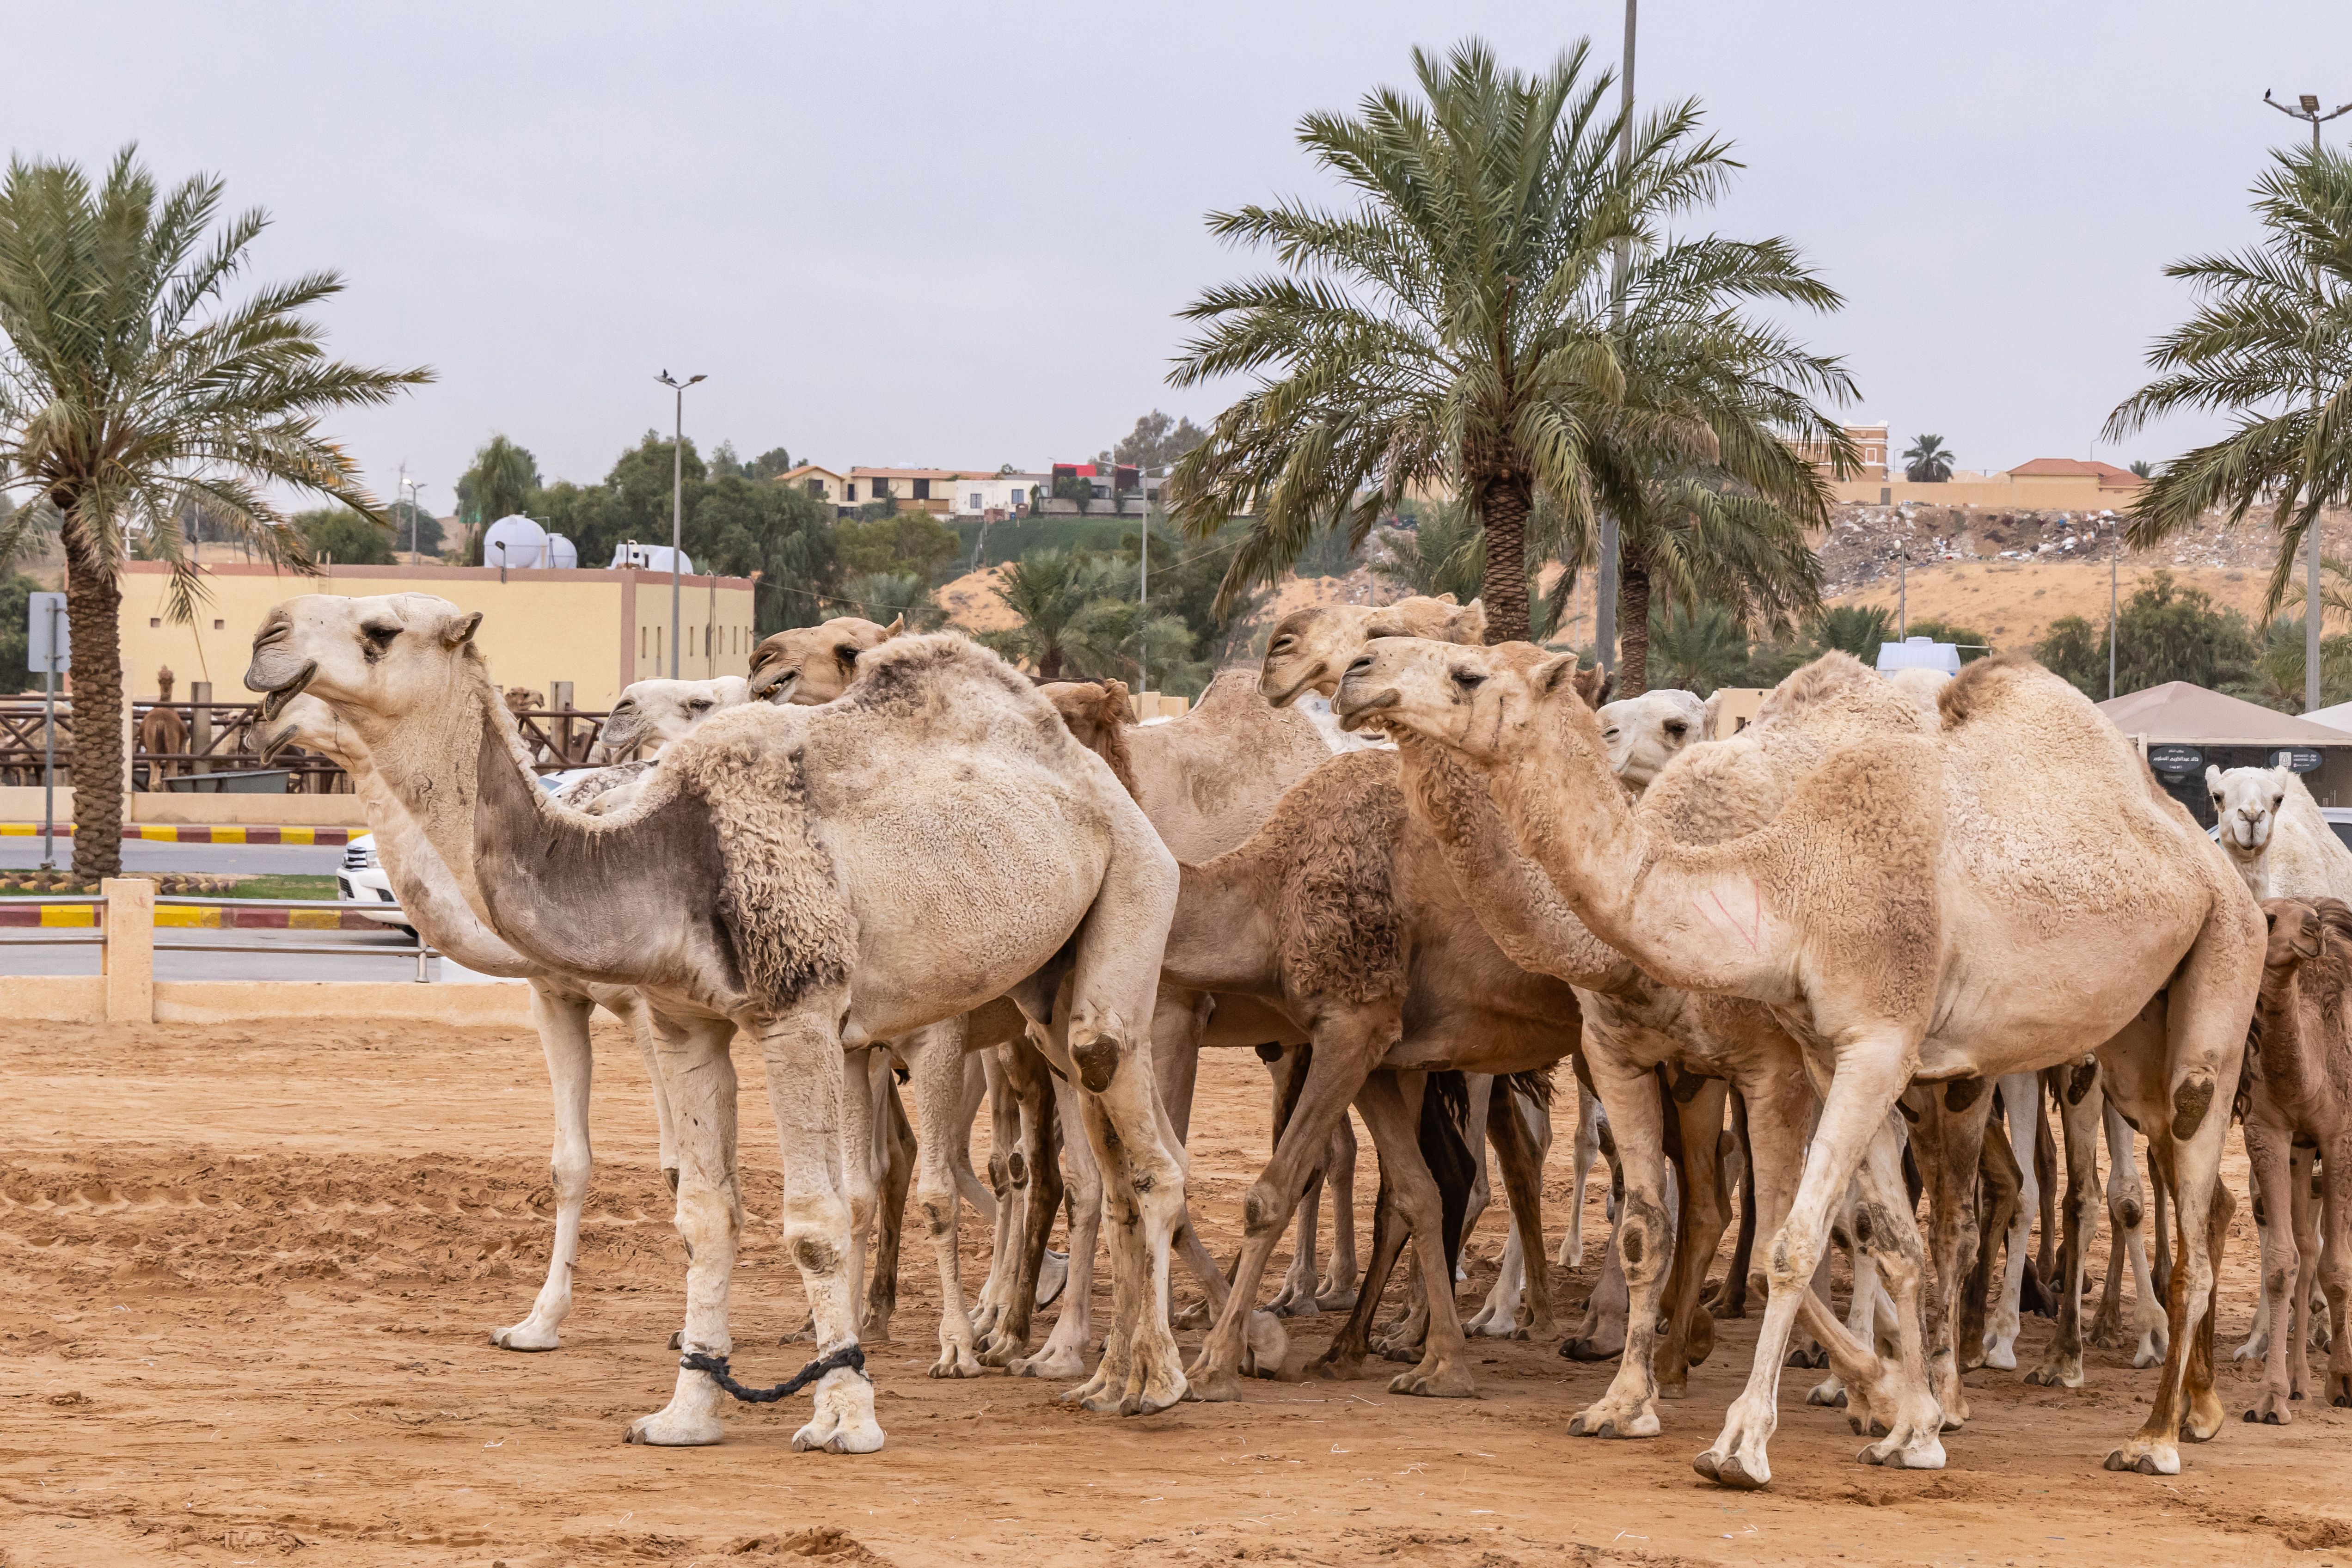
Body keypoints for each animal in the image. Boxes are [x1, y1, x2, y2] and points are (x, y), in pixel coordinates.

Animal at [248, 598, 1190, 1449]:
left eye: (381, 629)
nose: (266, 639)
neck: (655, 849)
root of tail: (1088, 766)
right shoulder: (681, 1020)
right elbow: (704, 1209)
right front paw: (685, 1411)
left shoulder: (798, 1009)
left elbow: (813, 1221)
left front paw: (844, 1415)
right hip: (1033, 987)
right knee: (1094, 1136)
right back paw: (1106, 1368)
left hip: (1134, 885)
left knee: (1127, 1125)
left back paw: (1140, 1377)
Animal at [1337, 640, 2262, 1484]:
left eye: (1466, 672)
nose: (1355, 673)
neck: (1793, 887)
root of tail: (2212, 855)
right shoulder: (1821, 1055)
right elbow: (1880, 1237)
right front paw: (1904, 1430)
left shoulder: (1861, 1048)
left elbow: (1794, 1240)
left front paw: (1745, 1444)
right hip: (2131, 1042)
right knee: (2190, 1194)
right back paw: (2187, 1408)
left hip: (2217, 977)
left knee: (2177, 1222)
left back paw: (2153, 1437)